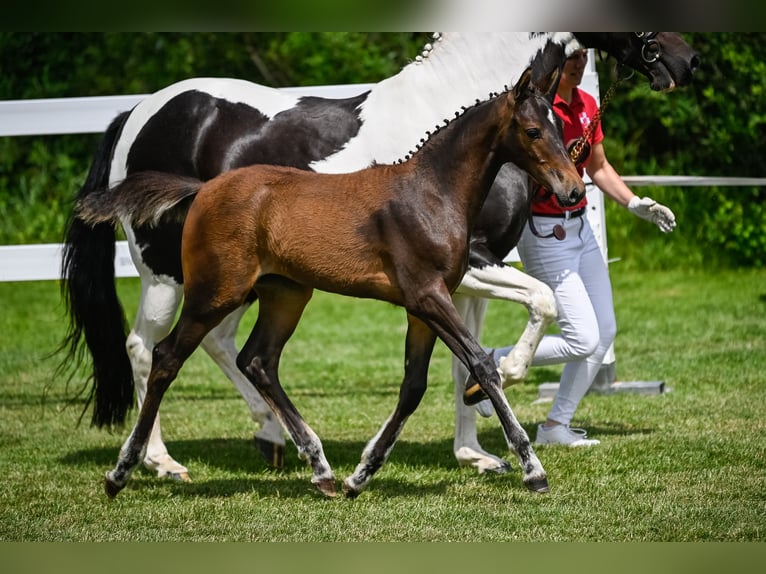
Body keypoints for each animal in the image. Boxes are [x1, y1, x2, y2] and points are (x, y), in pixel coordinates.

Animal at [63, 31, 700, 482]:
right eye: (532, 131)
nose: (685, 59)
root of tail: (135, 112)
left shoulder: (459, 280)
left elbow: (464, 360)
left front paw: (474, 450)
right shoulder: (470, 267)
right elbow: (535, 306)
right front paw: (502, 402)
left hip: (252, 284)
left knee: (227, 348)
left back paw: (276, 439)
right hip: (170, 276)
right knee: (148, 348)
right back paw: (157, 461)